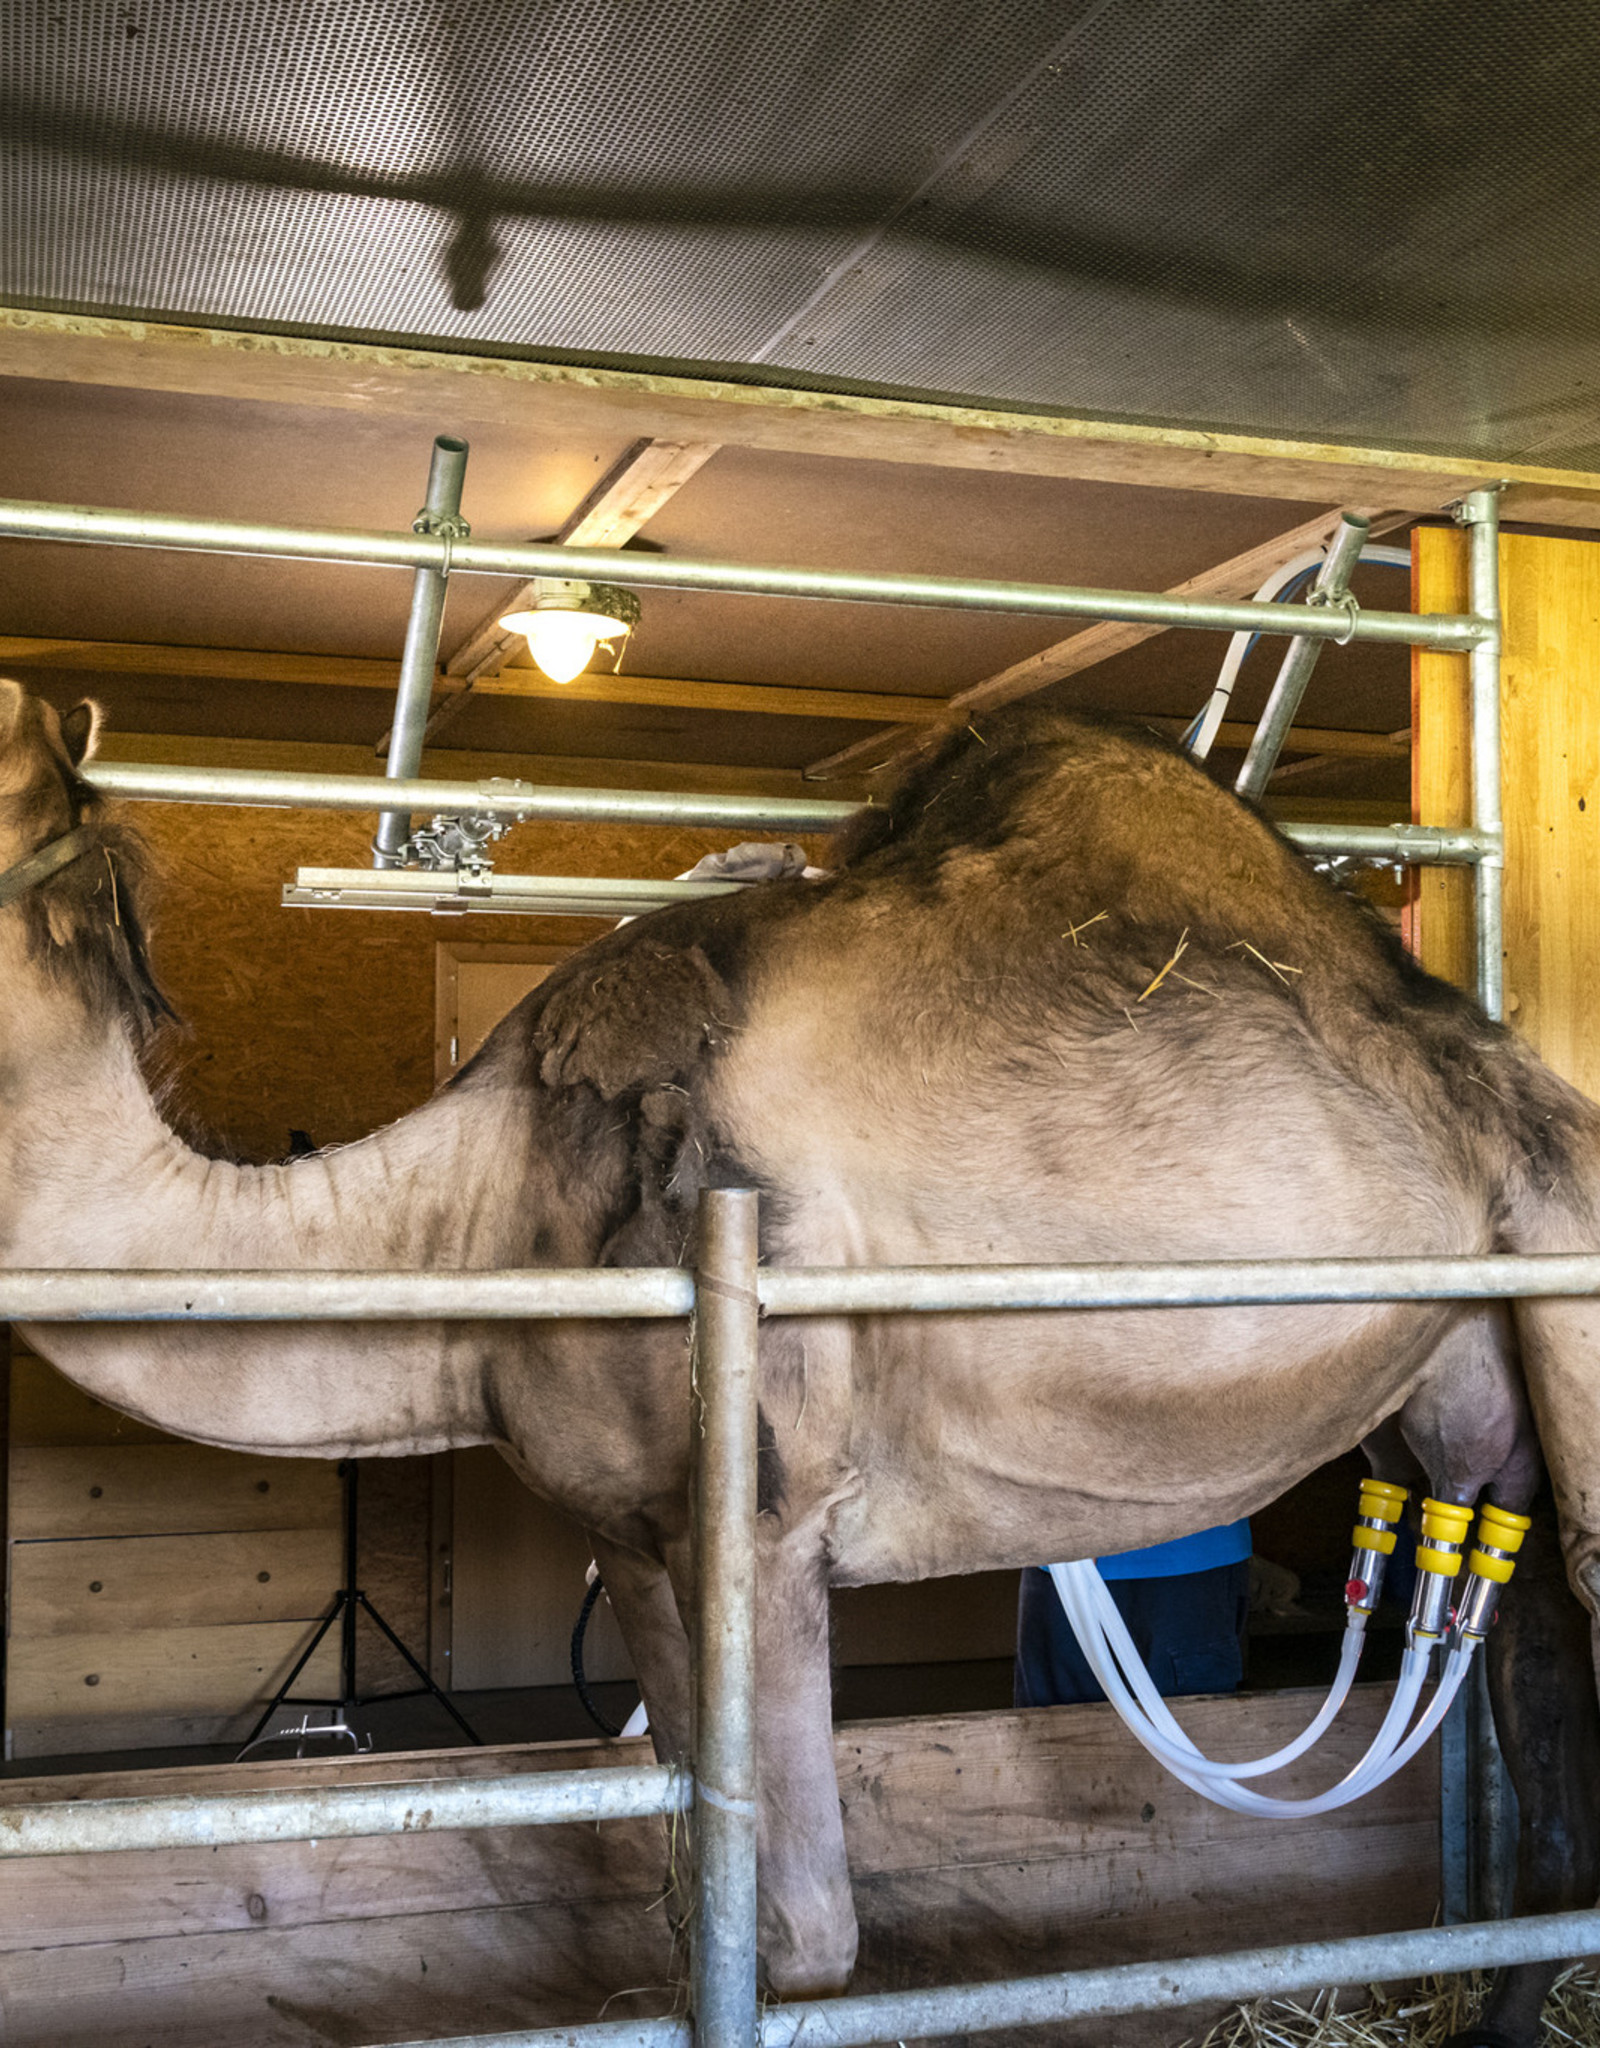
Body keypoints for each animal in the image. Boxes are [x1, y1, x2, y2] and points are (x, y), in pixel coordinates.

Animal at [3, 675, 1597, 2048]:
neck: (483, 1207)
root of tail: (1518, 1084)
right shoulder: (636, 1535)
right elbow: (695, 1890)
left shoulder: (769, 1519)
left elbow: (806, 1942)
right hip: (1472, 1371)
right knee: (1533, 1688)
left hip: (1569, 1266)